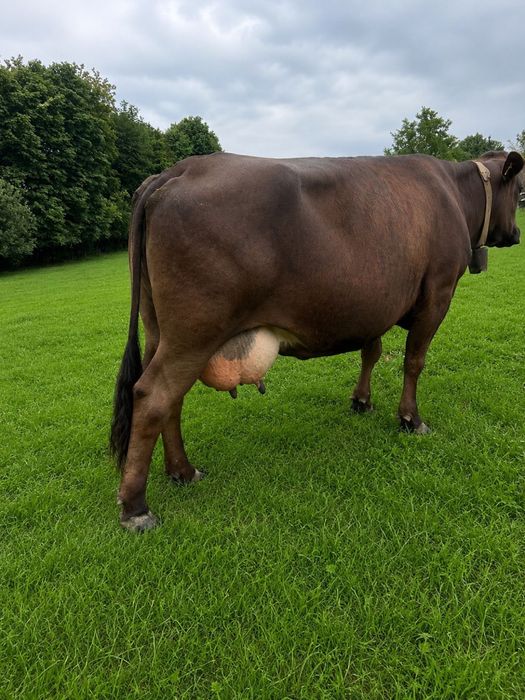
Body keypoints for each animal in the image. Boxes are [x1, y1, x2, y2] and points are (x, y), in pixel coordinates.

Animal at [110, 150, 523, 532]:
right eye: (520, 189)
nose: (517, 235)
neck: (454, 191)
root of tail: (179, 169)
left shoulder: (376, 303)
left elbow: (371, 351)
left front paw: (361, 400)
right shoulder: (437, 292)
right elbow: (414, 360)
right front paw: (410, 418)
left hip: (159, 329)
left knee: (170, 398)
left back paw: (182, 471)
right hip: (194, 331)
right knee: (153, 395)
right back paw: (136, 508)